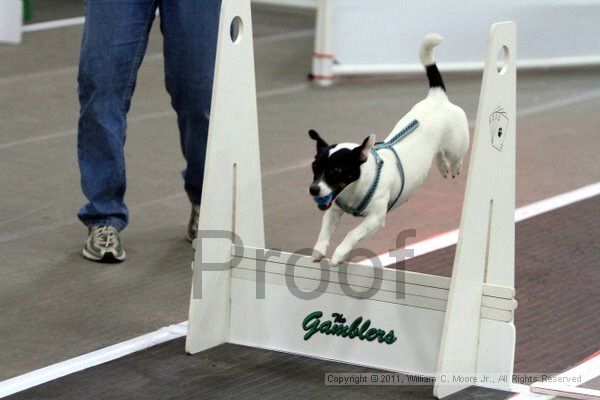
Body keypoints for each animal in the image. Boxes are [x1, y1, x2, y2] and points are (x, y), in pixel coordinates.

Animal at [310, 33, 468, 266]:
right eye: (314, 168)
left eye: (336, 170)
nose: (313, 190)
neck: (357, 185)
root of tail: (437, 96)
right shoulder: (334, 210)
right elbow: (324, 229)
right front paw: (319, 250)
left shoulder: (375, 218)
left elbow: (352, 234)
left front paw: (339, 254)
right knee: (438, 153)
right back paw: (442, 167)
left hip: (457, 144)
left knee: (456, 155)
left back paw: (454, 167)